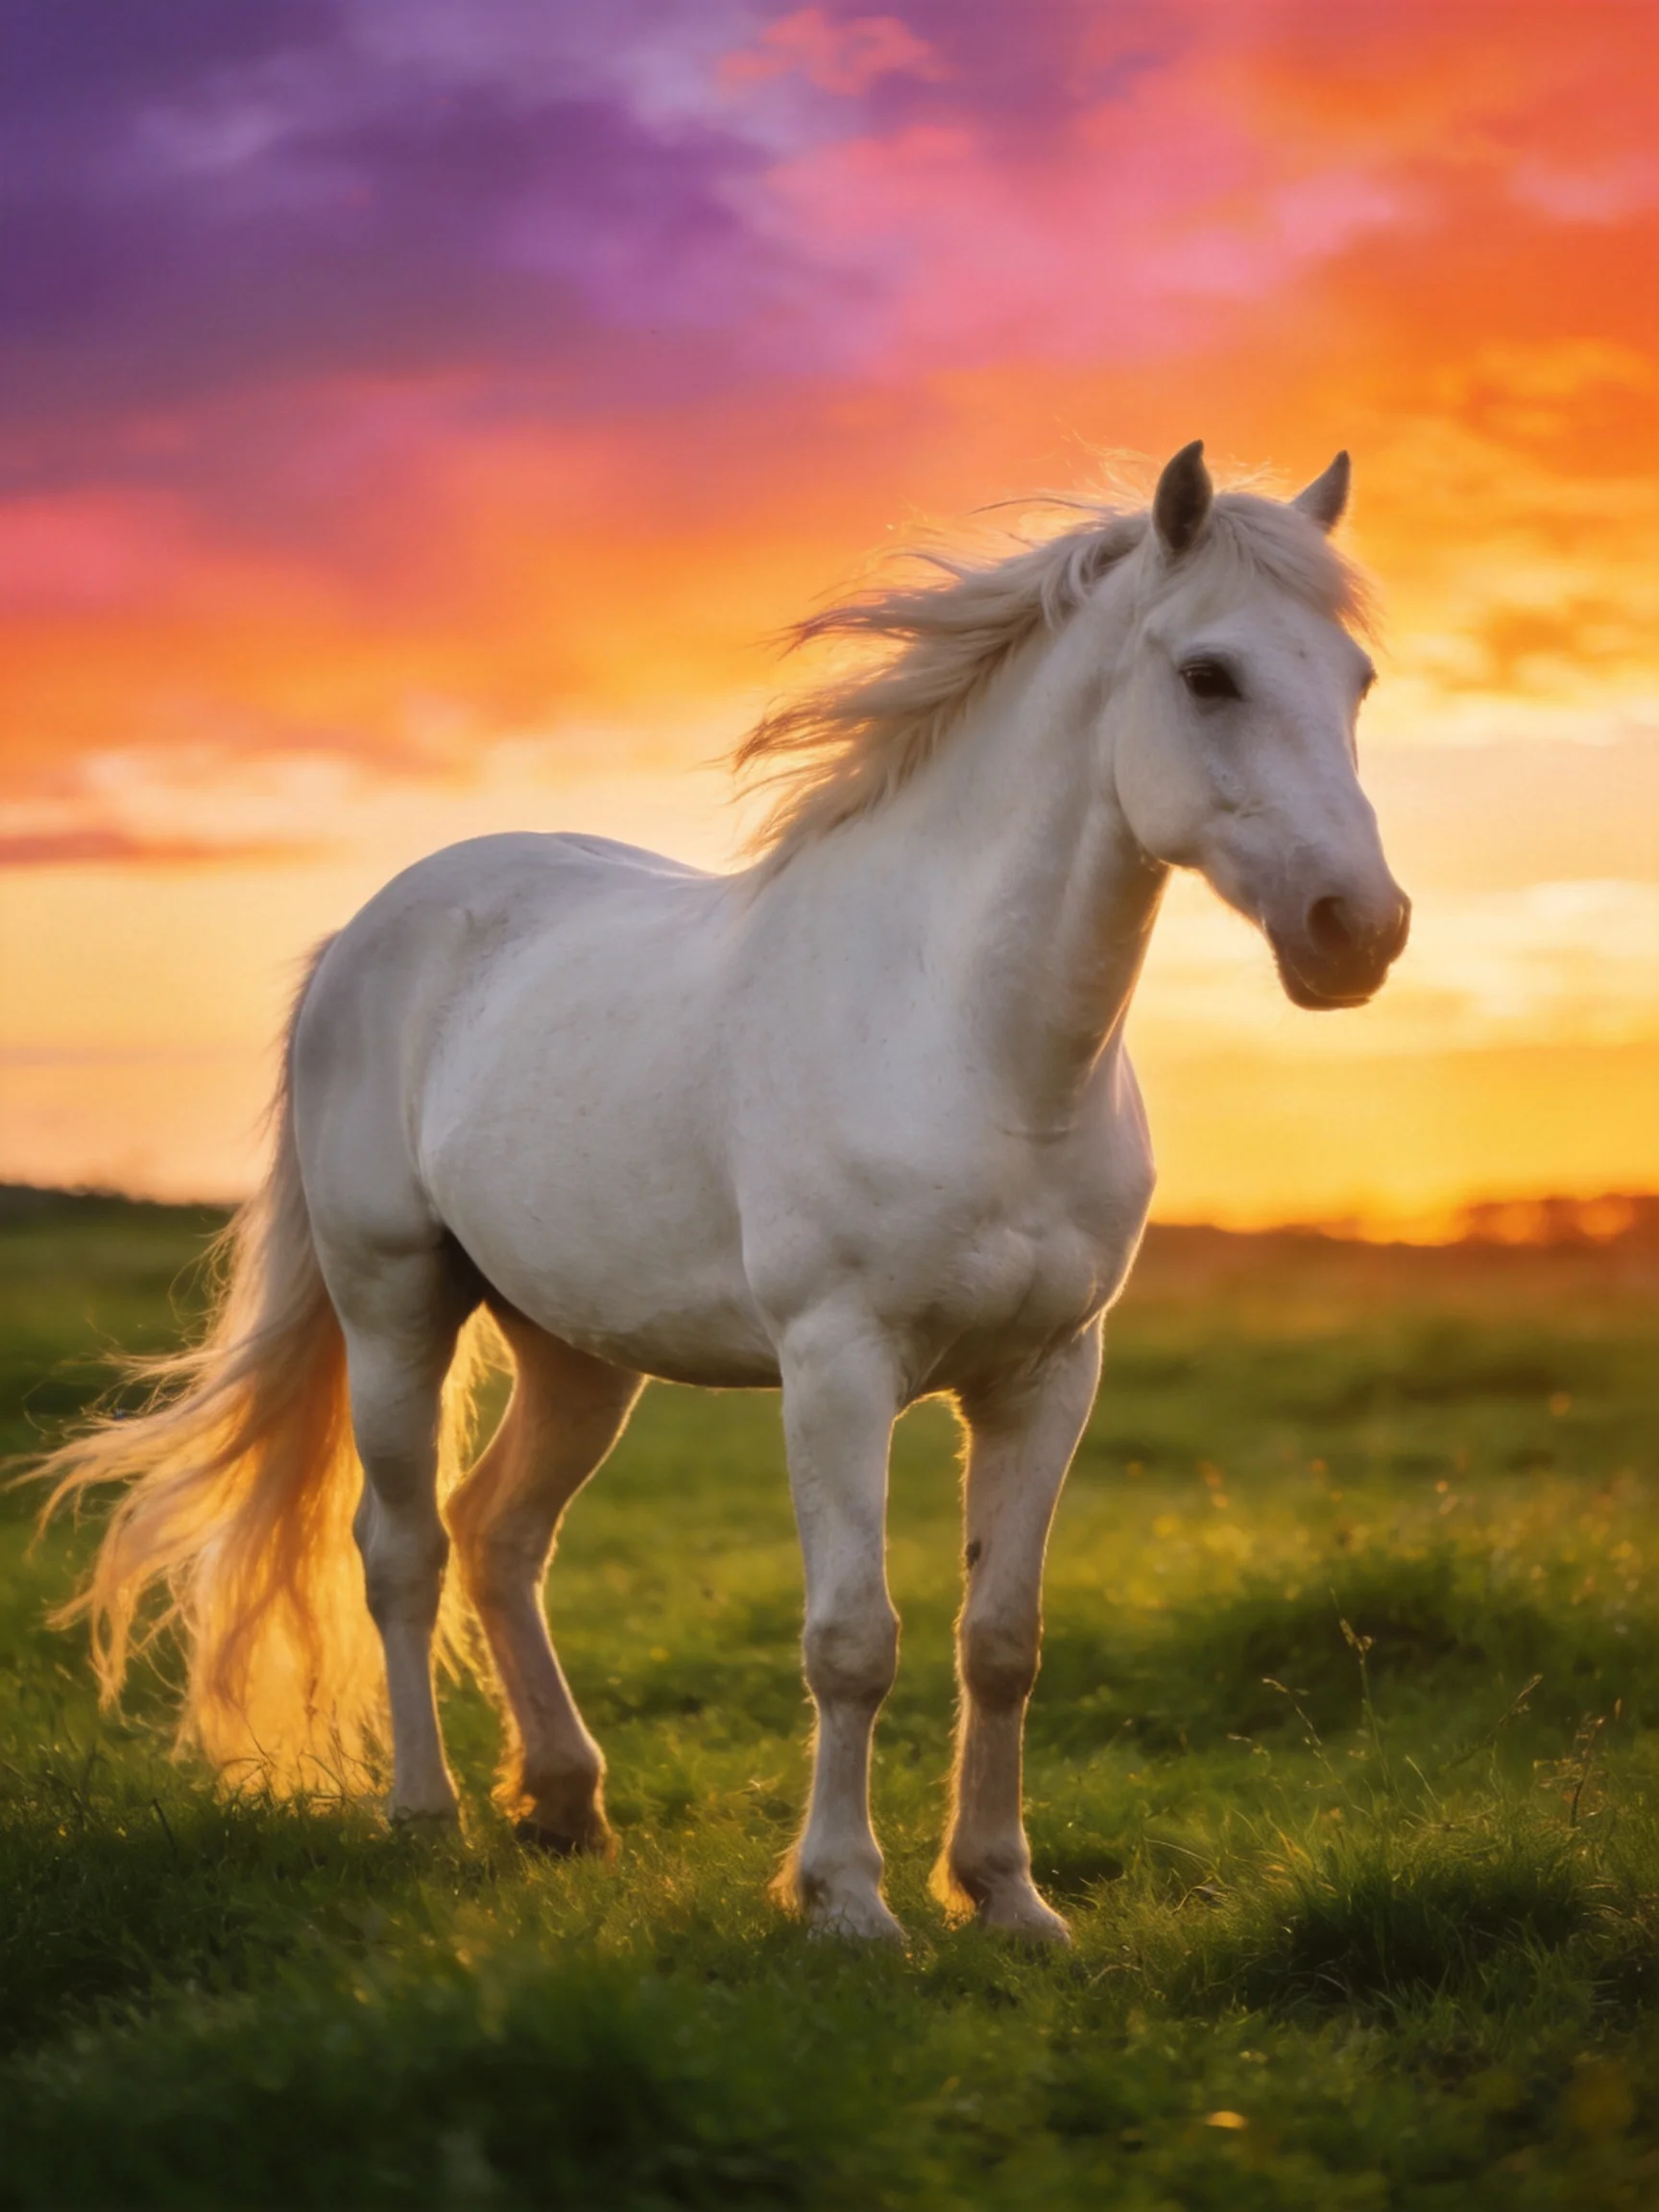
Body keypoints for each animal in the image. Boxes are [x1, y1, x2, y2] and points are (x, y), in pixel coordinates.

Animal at [40, 440, 1408, 1943]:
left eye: (1356, 682)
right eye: (1209, 674)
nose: (1361, 931)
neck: (972, 1043)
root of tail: (372, 925)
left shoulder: (1049, 1372)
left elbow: (1001, 1641)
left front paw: (1006, 1898)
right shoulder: (837, 1365)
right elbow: (852, 1639)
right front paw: (848, 1900)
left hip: (577, 1351)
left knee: (500, 1533)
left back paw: (566, 1807)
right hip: (394, 1307)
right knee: (400, 1549)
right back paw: (426, 1815)